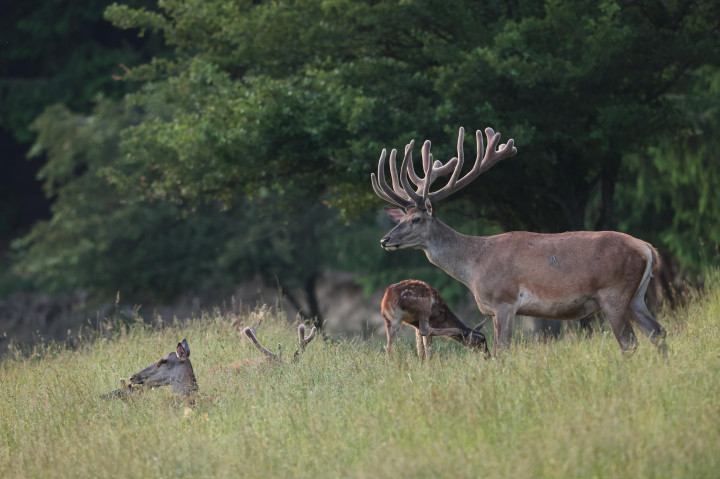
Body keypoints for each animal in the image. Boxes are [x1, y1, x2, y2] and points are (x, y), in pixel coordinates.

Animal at [371, 126, 667, 356]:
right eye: (401, 217)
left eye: (416, 219)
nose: (385, 239)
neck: (474, 264)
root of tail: (648, 249)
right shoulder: (494, 310)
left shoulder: (504, 300)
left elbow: (502, 350)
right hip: (635, 296)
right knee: (658, 332)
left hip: (613, 293)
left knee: (629, 342)